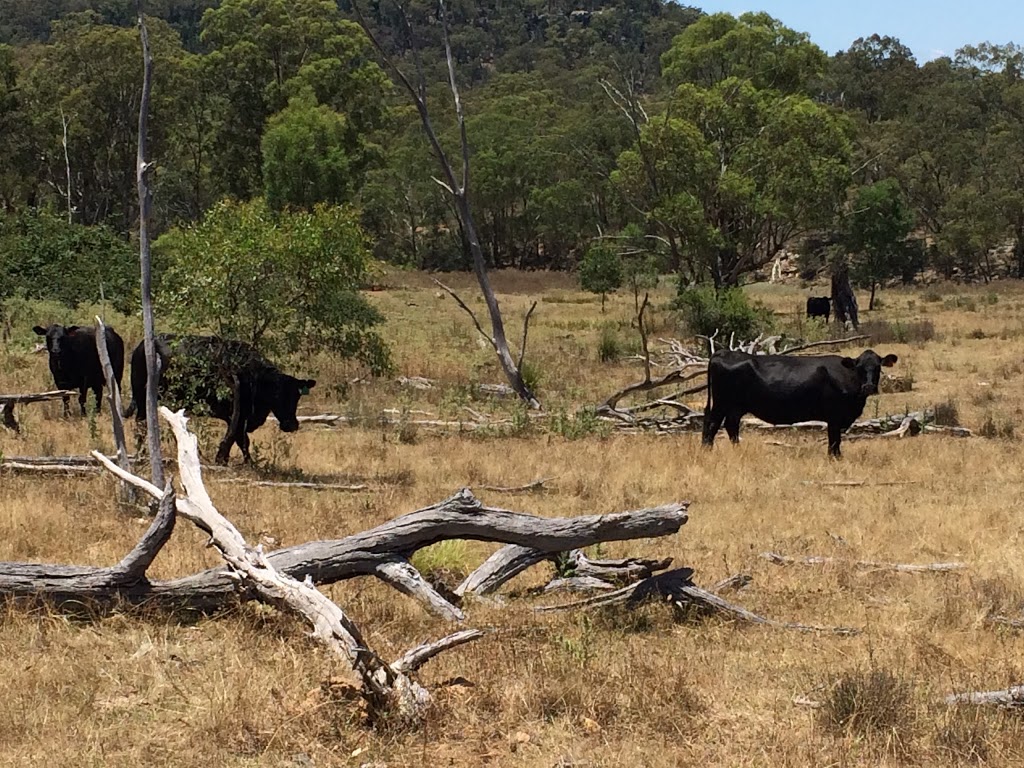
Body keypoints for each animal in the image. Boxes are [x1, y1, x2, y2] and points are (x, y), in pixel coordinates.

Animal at [124, 335, 315, 462]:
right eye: (277, 394)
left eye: (297, 396)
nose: (291, 425)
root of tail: (143, 344)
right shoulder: (236, 415)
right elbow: (240, 439)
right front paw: (228, 460)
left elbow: (240, 439)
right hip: (141, 396)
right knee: (141, 424)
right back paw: (141, 453)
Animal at [704, 352, 897, 460]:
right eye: (860, 367)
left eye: (878, 367)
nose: (869, 386)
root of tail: (723, 352)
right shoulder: (834, 417)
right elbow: (834, 440)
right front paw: (835, 458)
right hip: (722, 403)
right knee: (712, 424)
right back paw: (707, 450)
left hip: (735, 407)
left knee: (731, 426)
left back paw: (737, 449)